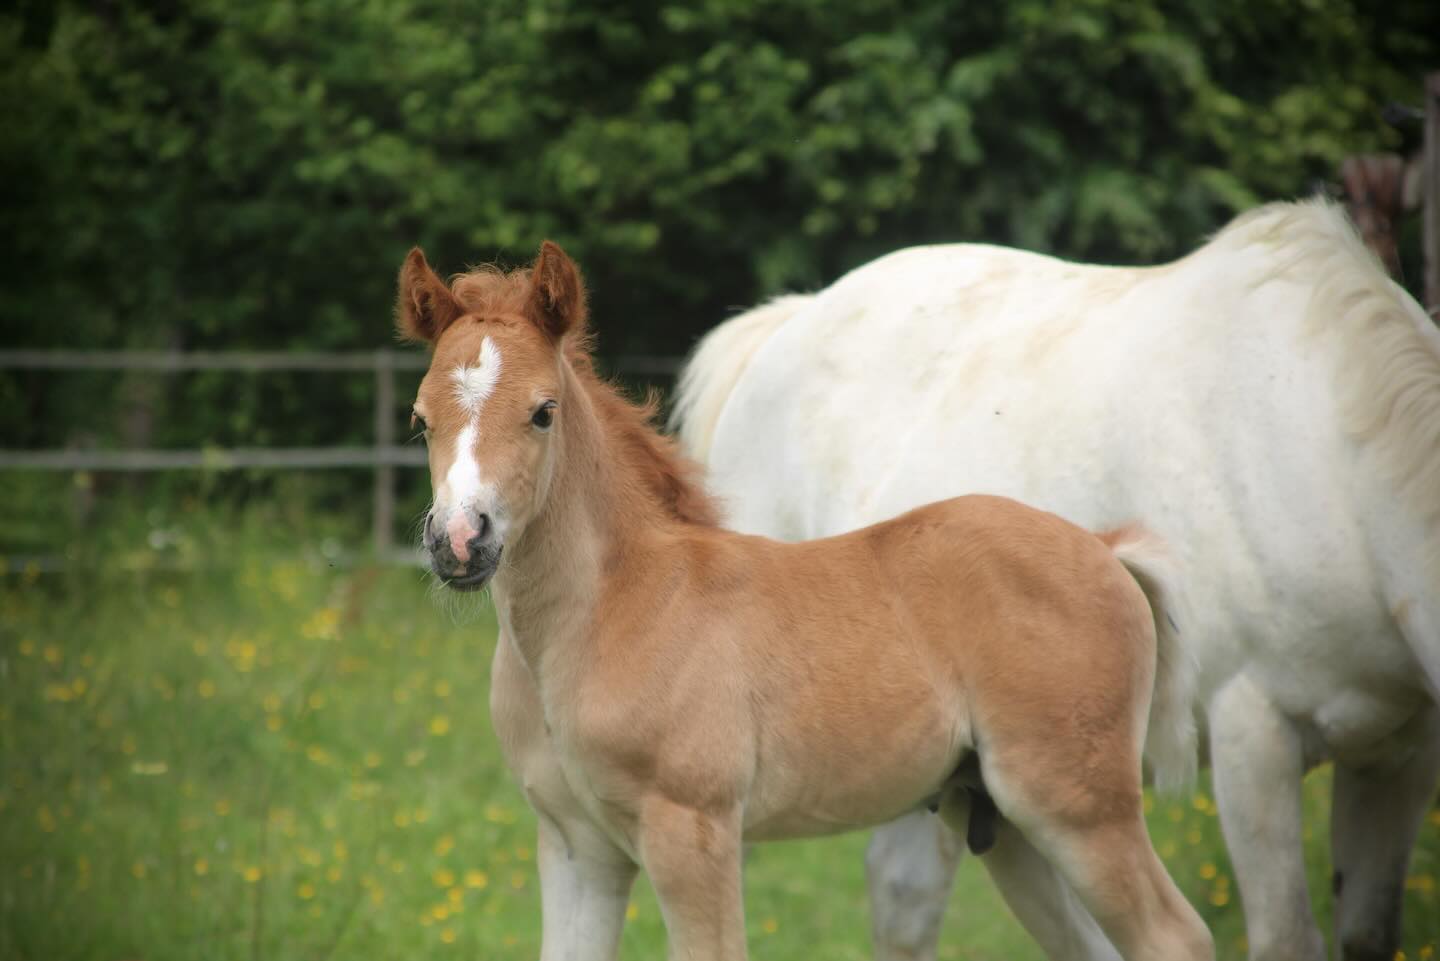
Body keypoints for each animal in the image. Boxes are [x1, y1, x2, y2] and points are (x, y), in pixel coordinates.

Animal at [395, 241, 1214, 961]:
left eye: (543, 411)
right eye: (419, 418)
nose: (460, 541)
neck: (607, 610)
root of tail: (1104, 547)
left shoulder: (693, 832)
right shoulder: (576, 848)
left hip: (1077, 808)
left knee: (1177, 936)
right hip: (1007, 825)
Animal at [670, 199, 1440, 961]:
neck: (1328, 453)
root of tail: (789, 322)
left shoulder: (1397, 753)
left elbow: (1367, 932)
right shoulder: (1255, 739)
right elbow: (1286, 937)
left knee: (909, 897)